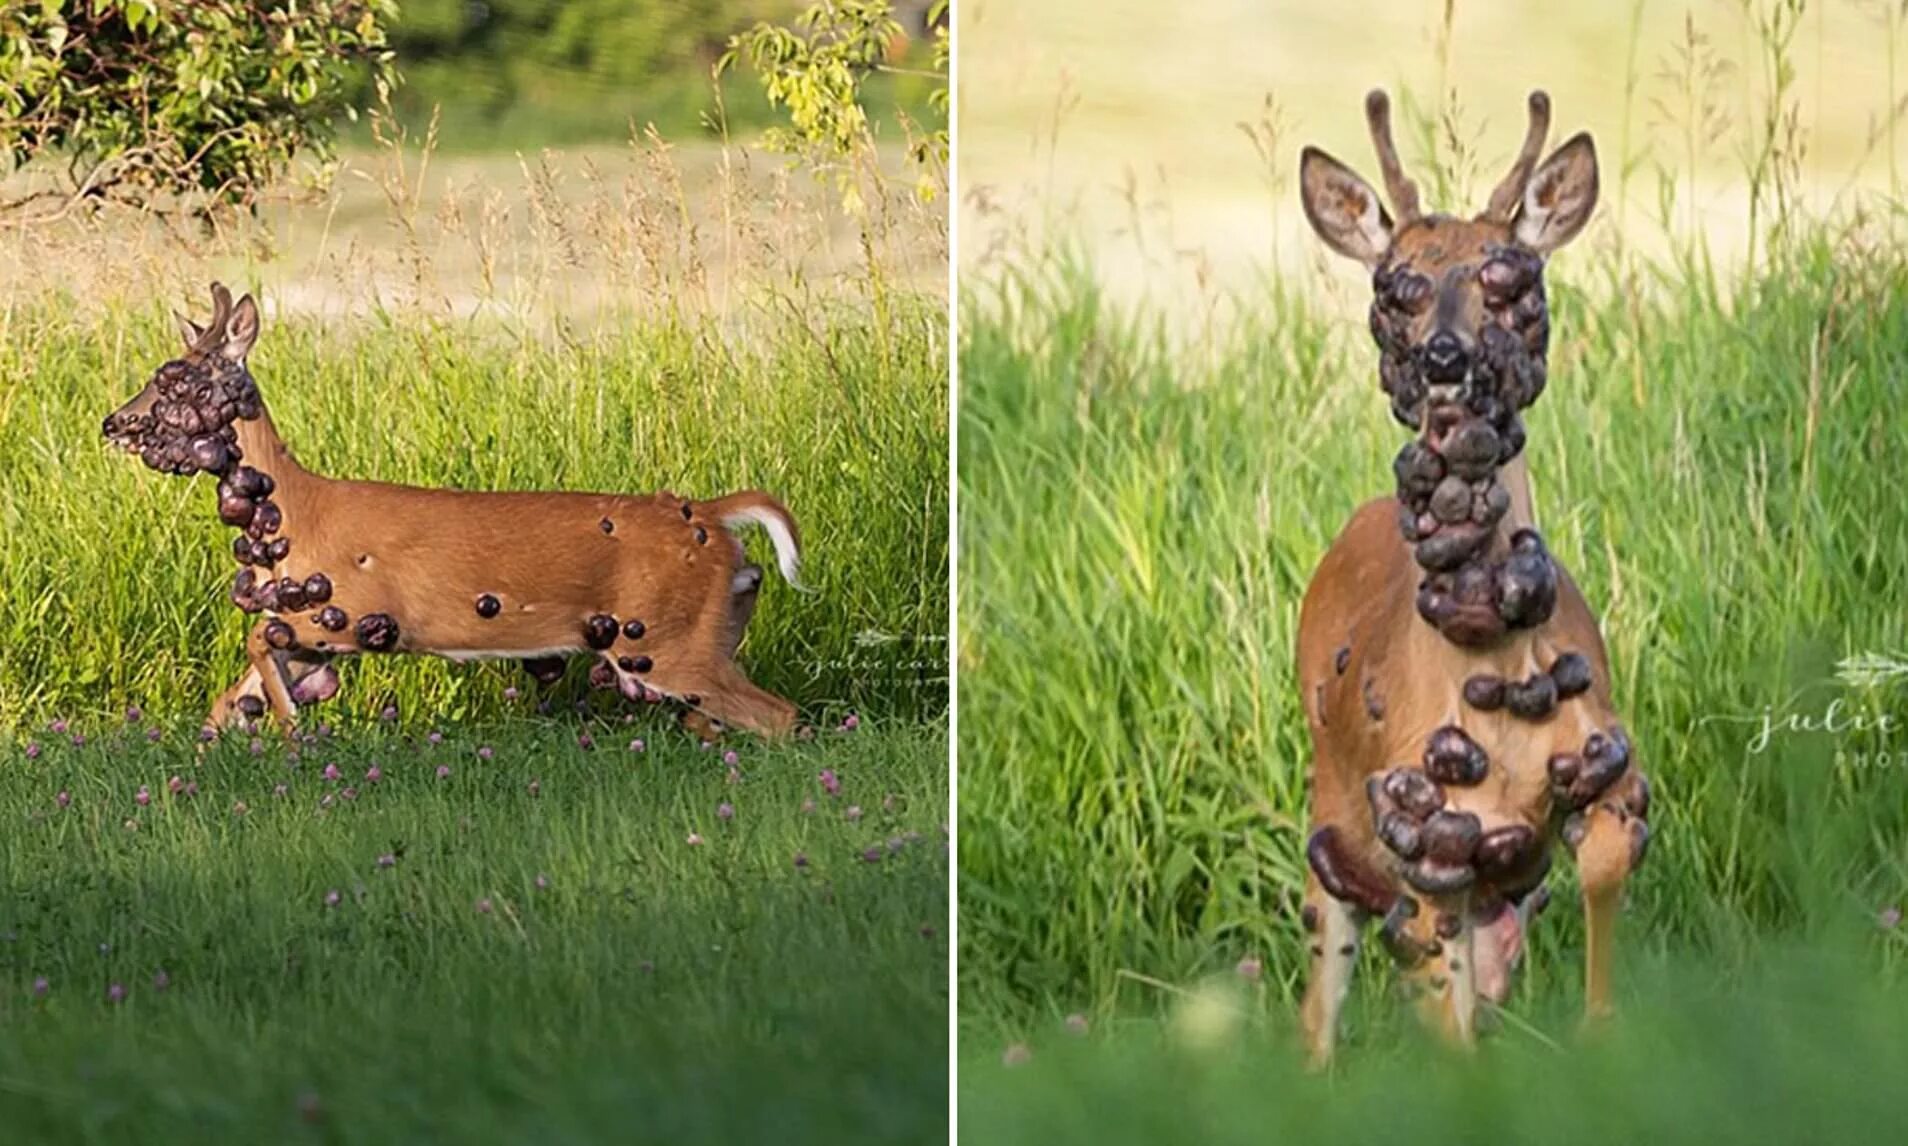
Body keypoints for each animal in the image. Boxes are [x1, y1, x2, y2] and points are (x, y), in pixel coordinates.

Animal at [104, 282, 805, 736]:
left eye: (176, 381)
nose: (113, 422)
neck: (298, 513)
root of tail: (714, 515)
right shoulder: (309, 633)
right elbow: (224, 705)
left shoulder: (356, 610)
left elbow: (252, 642)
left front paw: (293, 722)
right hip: (706, 633)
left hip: (663, 637)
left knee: (783, 716)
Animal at [1297, 91, 1656, 1060]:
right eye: (1392, 287)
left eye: (1514, 280)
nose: (1445, 358)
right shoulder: (1424, 832)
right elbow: (1446, 1018)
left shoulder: (1607, 765)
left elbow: (1602, 870)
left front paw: (1604, 1036)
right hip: (1331, 812)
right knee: (1320, 1006)